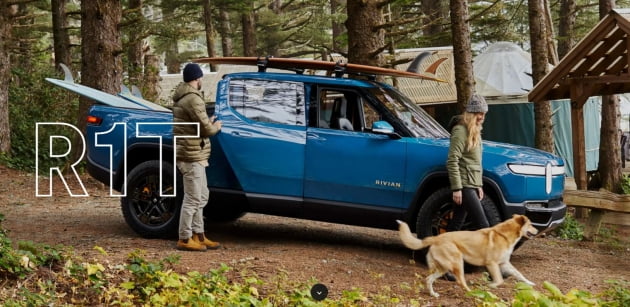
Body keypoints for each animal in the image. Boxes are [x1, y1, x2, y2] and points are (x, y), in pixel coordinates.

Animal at [396, 214, 540, 298]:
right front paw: (491, 286)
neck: (504, 235)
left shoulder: (504, 263)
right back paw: (472, 292)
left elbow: (519, 274)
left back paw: (433, 294)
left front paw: (530, 283)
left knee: (428, 279)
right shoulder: (492, 264)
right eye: (531, 224)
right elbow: (499, 280)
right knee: (460, 281)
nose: (538, 231)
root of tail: (436, 238)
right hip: (458, 262)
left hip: (443, 268)